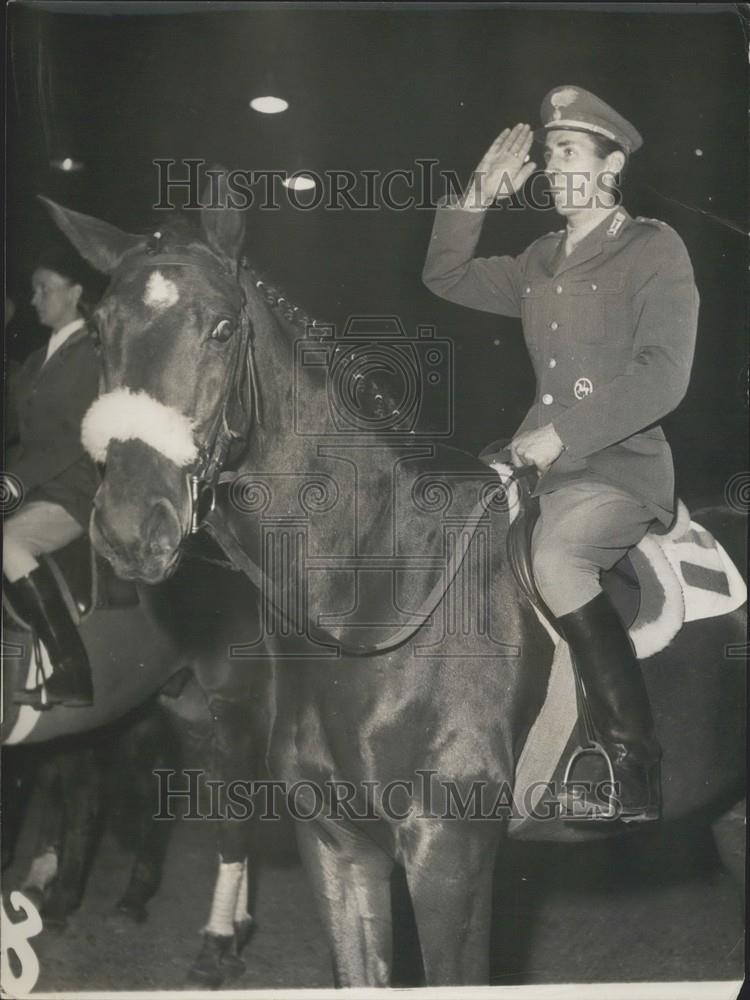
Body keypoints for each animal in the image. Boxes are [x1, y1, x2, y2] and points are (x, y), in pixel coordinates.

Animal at [45, 186, 748, 984]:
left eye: (222, 329)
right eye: (98, 335)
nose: (131, 525)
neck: (373, 593)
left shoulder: (450, 855)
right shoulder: (337, 845)